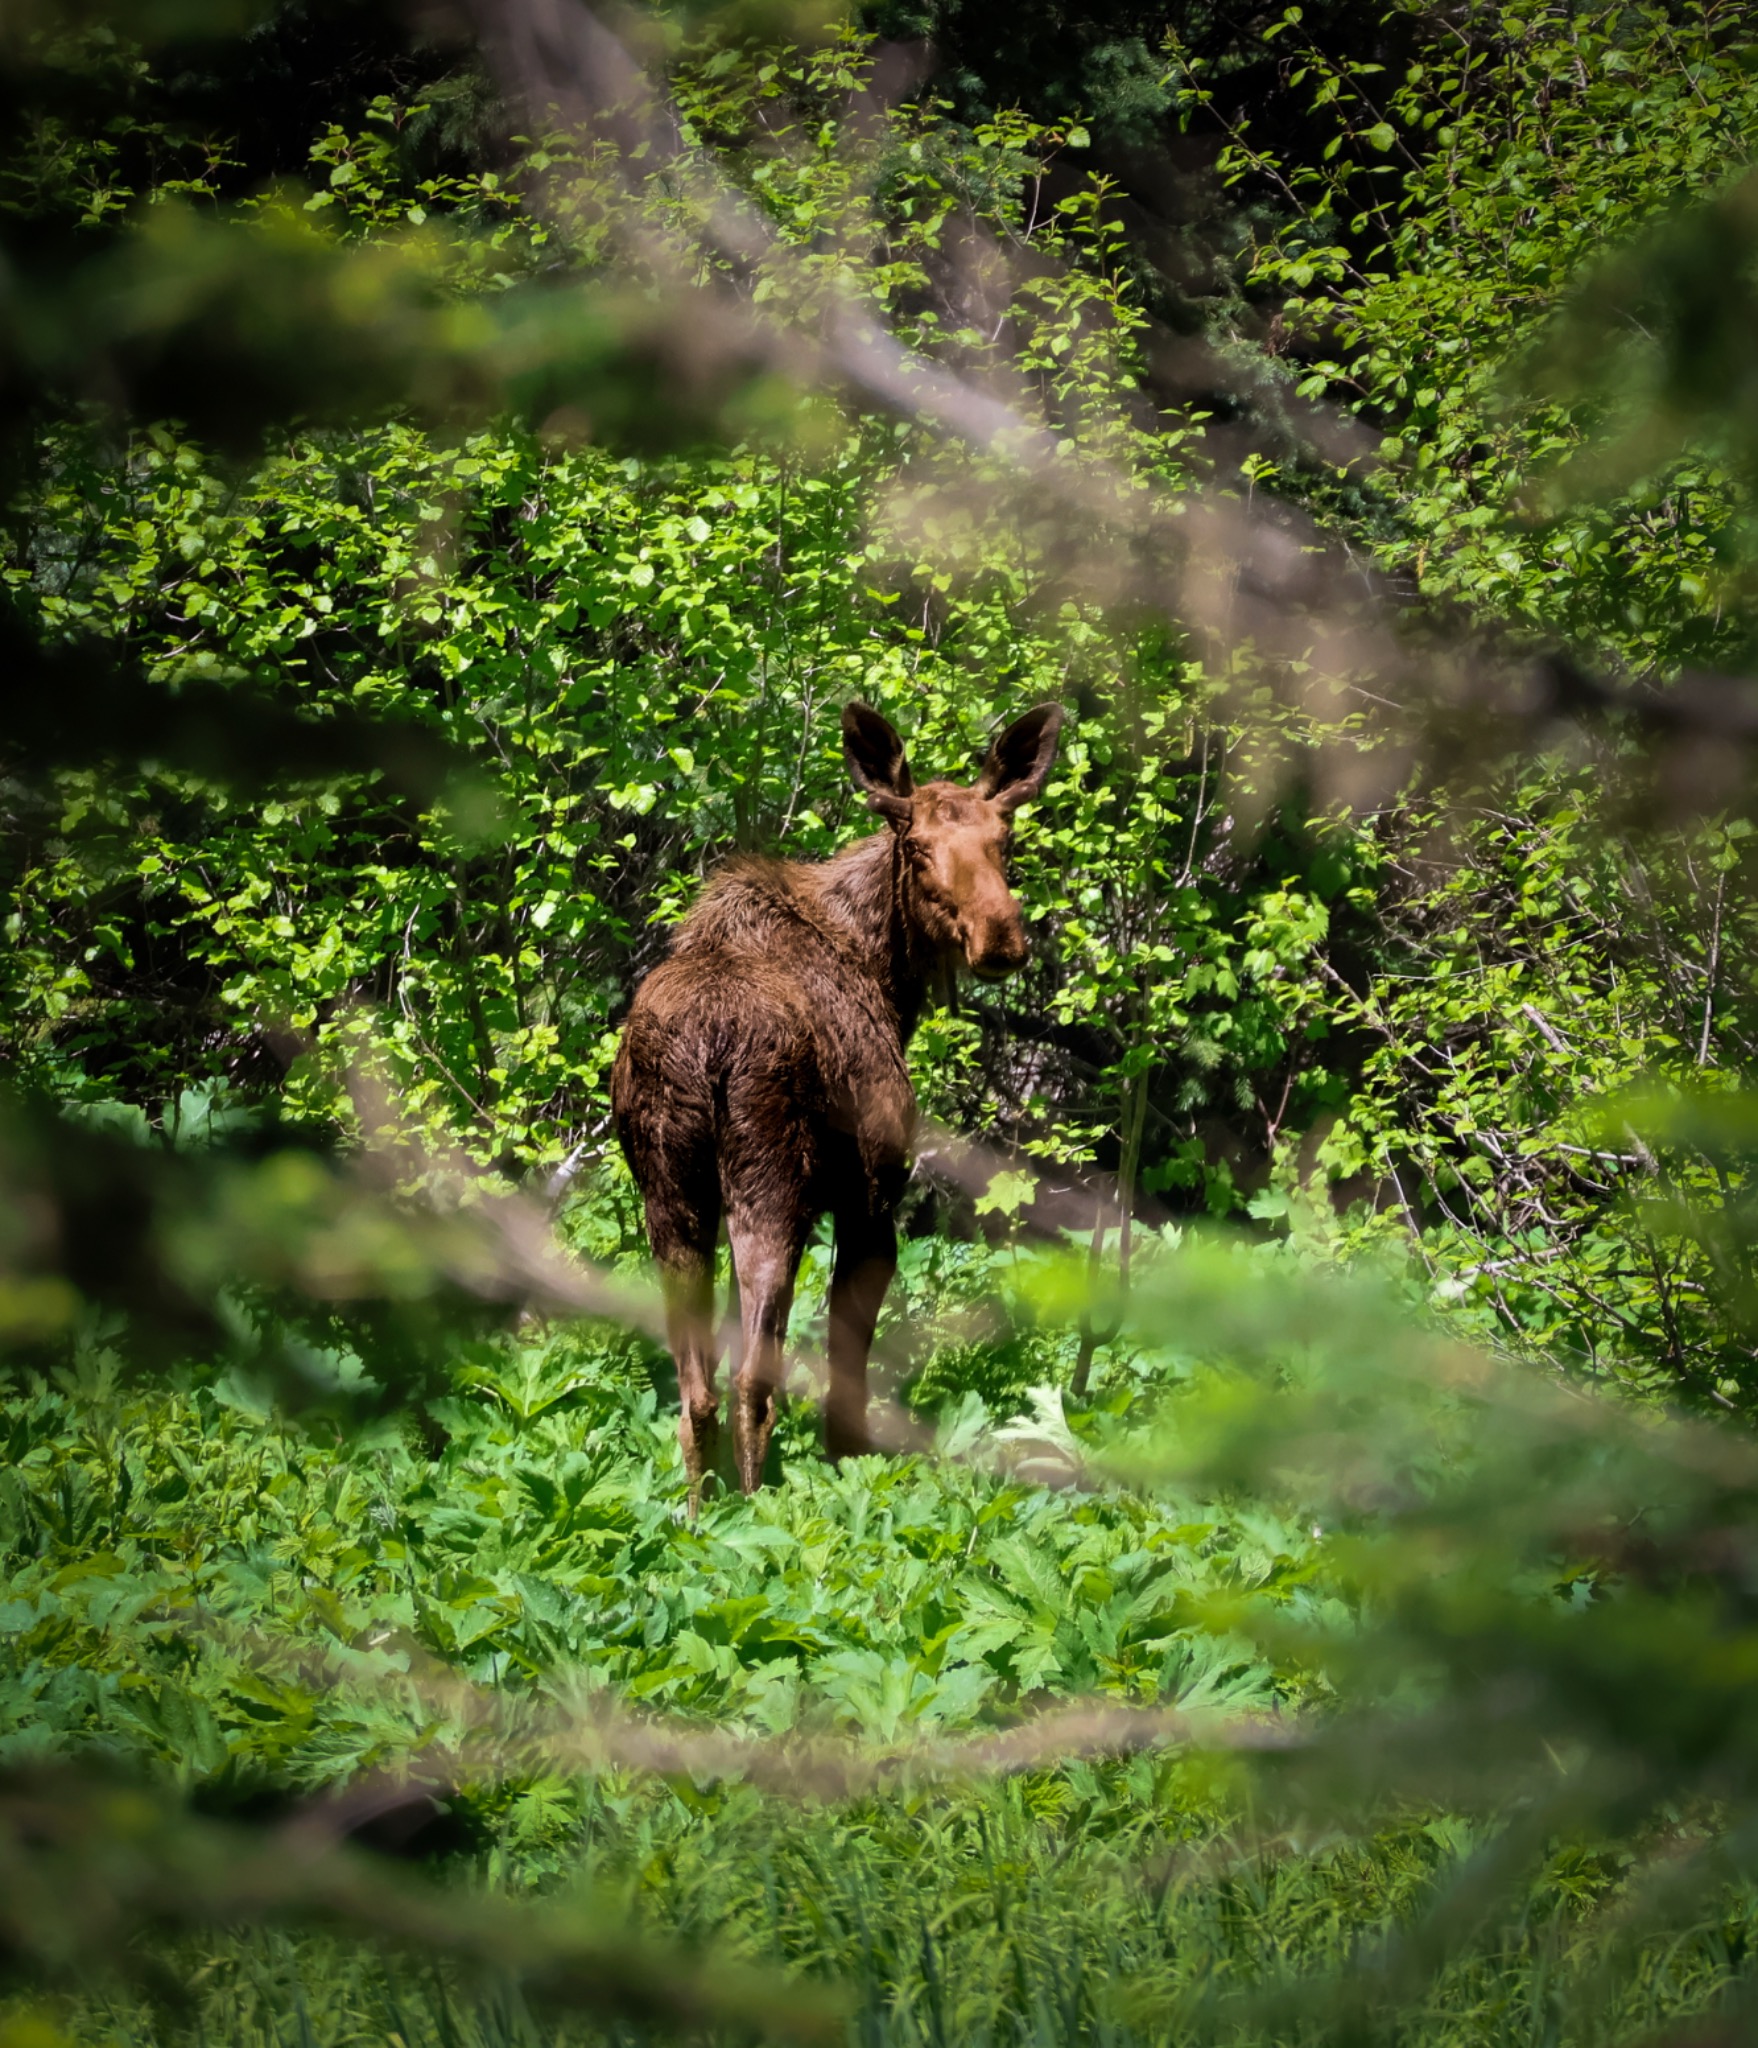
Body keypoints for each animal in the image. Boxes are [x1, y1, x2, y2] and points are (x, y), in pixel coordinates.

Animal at [610, 699, 1064, 1497]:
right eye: (917, 846)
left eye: (1004, 840)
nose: (1001, 939)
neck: (885, 971)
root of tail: (707, 1047)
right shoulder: (872, 1195)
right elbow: (846, 1369)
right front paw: (853, 1468)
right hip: (772, 1184)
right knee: (751, 1383)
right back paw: (753, 1510)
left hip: (670, 1191)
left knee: (696, 1392)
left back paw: (701, 1514)